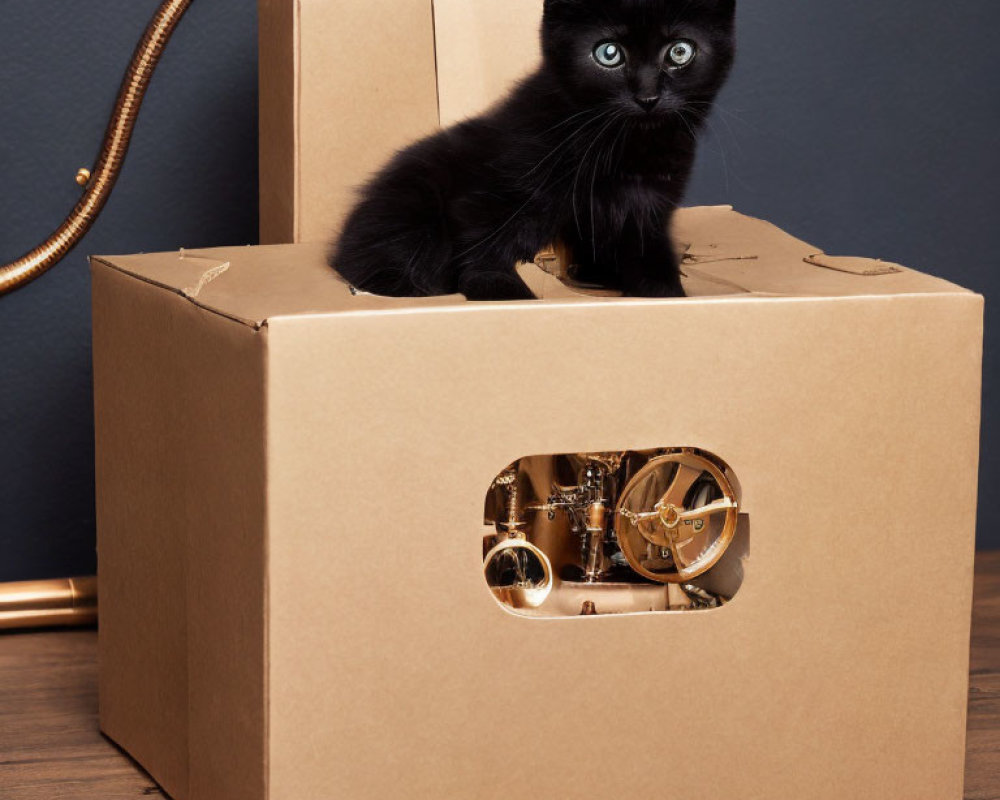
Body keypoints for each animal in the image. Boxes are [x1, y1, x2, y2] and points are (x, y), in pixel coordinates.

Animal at [332, 0, 732, 300]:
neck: (622, 148)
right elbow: (485, 252)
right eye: (608, 53)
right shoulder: (495, 196)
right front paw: (506, 293)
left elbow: (650, 260)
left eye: (679, 51)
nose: (648, 97)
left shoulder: (649, 209)